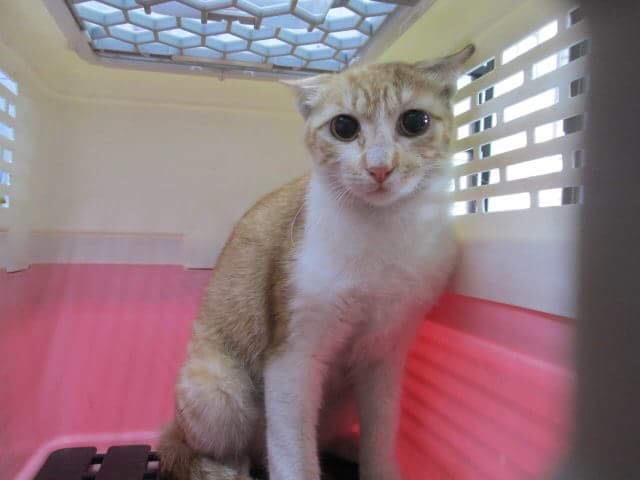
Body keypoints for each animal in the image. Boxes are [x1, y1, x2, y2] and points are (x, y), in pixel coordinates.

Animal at [158, 44, 475, 480]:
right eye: (344, 127)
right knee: (221, 450)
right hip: (221, 394)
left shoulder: (385, 355)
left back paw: (346, 446)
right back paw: (227, 468)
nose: (380, 166)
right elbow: (292, 453)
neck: (382, 233)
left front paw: (380, 465)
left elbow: (382, 429)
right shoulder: (292, 356)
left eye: (415, 121)